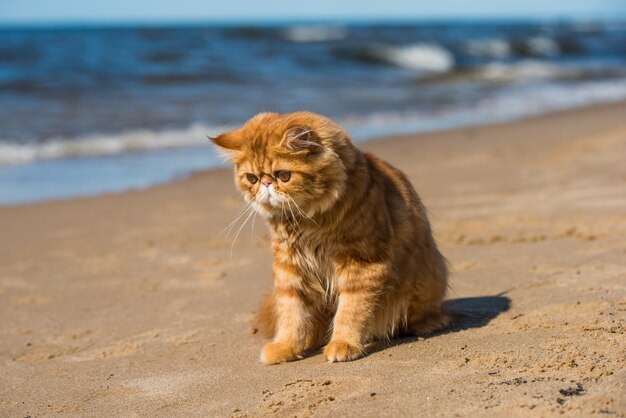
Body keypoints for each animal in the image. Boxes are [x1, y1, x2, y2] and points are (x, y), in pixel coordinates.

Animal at [211, 111, 448, 362]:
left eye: (283, 175)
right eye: (252, 178)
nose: (265, 183)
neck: (306, 222)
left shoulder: (361, 263)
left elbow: (350, 311)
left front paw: (343, 344)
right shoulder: (290, 268)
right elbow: (291, 313)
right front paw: (286, 347)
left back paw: (428, 324)